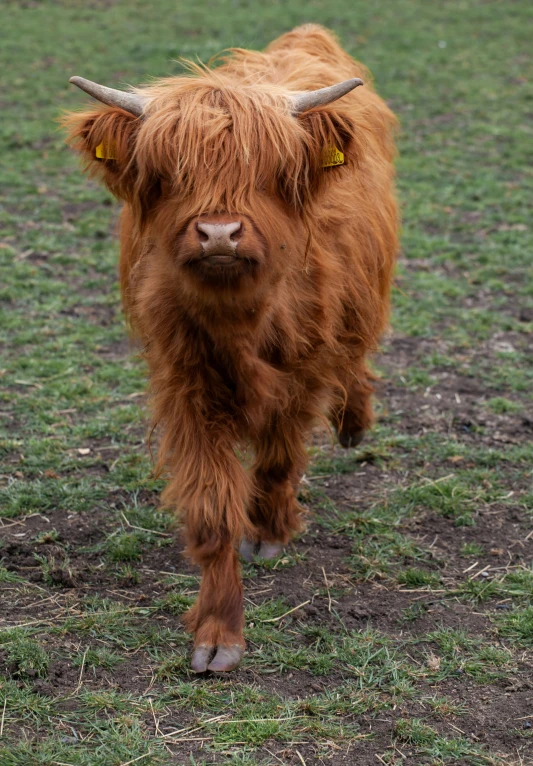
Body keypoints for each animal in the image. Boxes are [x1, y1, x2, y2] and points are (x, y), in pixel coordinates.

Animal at [64, 24, 396, 672]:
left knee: (354, 354)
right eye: (170, 173)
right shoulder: (187, 385)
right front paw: (218, 634)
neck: (241, 319)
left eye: (266, 171)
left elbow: (278, 455)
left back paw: (353, 421)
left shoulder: (303, 371)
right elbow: (212, 506)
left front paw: (267, 530)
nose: (219, 233)